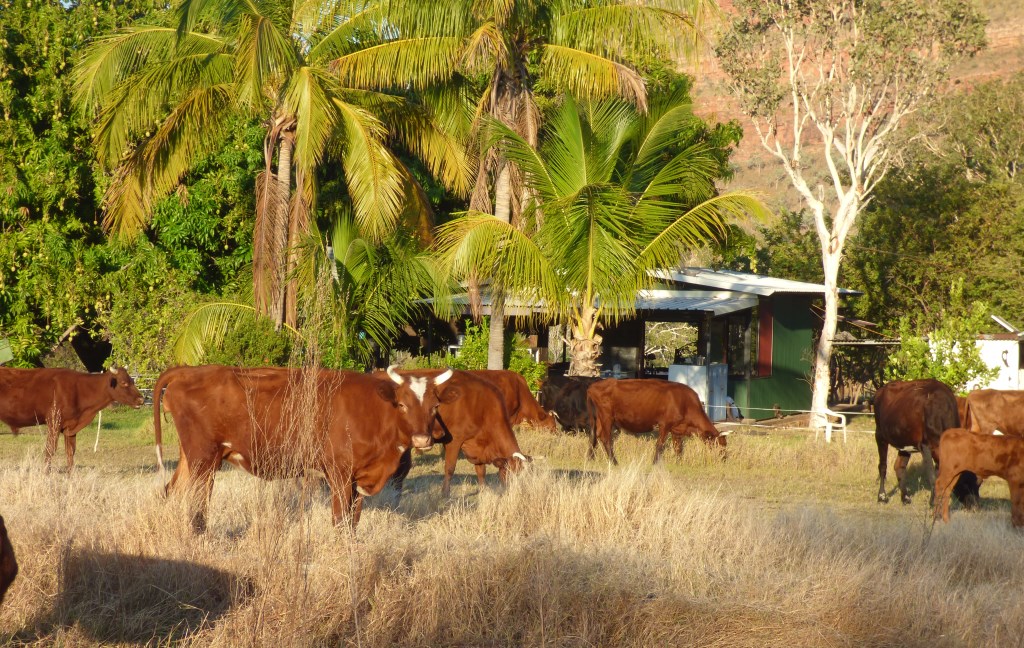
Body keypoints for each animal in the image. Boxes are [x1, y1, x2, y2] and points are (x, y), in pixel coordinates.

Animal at [152, 364, 456, 532]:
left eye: (435, 406)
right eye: (402, 404)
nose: (424, 439)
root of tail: (191, 370)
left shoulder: (359, 478)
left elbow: (354, 521)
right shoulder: (339, 473)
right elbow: (340, 519)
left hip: (191, 458)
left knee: (171, 492)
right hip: (204, 459)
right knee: (197, 505)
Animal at [397, 368, 532, 495]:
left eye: (524, 476)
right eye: (510, 474)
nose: (518, 492)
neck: (482, 407)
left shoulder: (477, 446)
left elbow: (481, 470)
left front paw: (483, 491)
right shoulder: (454, 441)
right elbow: (450, 468)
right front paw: (445, 494)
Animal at [585, 378, 729, 464]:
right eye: (720, 444)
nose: (724, 458)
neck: (685, 402)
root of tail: (594, 386)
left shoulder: (677, 429)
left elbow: (678, 447)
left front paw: (678, 462)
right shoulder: (664, 424)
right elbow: (660, 444)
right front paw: (655, 463)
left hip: (599, 418)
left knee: (594, 435)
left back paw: (591, 458)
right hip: (607, 416)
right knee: (606, 438)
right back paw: (614, 461)